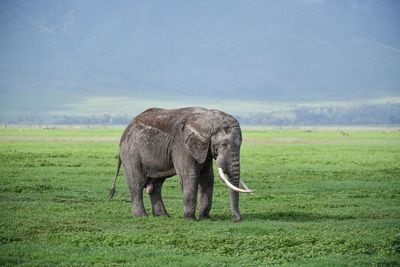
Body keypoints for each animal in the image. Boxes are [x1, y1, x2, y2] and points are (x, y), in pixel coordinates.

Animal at [109, 107, 253, 222]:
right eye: (223, 145)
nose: (237, 219)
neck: (207, 118)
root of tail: (126, 129)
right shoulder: (182, 145)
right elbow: (190, 176)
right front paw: (190, 219)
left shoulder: (203, 148)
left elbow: (207, 177)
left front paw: (205, 218)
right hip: (130, 152)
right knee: (137, 183)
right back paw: (141, 216)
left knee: (156, 185)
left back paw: (163, 216)